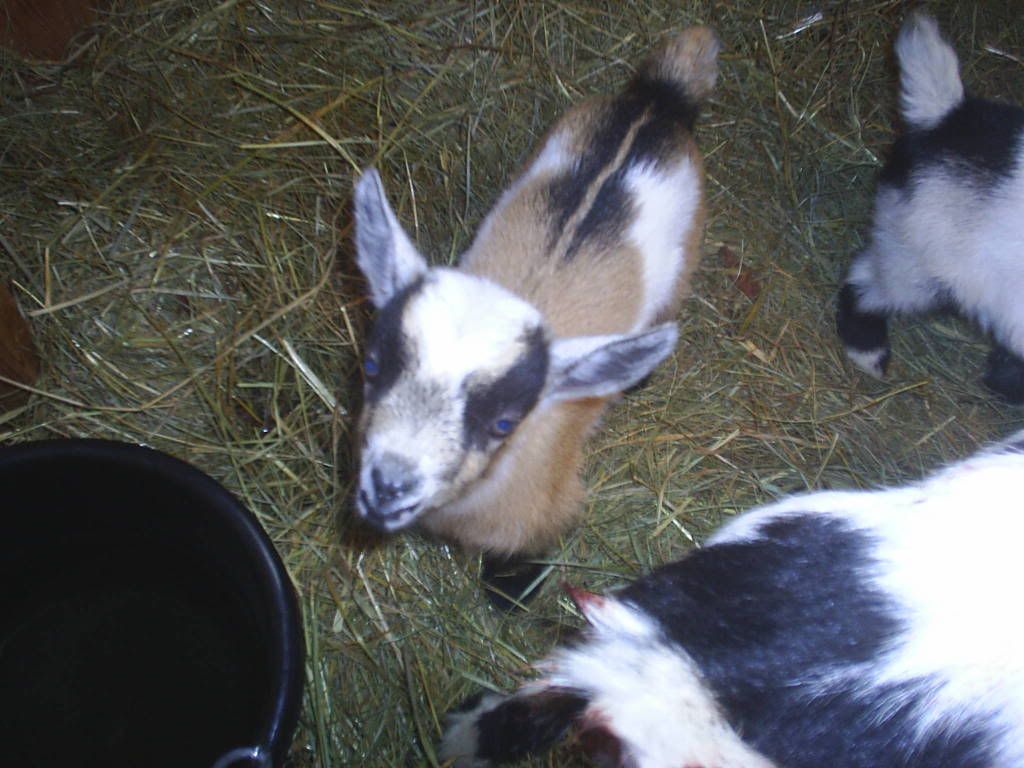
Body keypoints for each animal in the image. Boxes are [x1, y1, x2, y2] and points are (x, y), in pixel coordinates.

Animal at [353, 27, 719, 602]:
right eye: (370, 365)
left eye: (505, 421)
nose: (389, 486)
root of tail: (658, 101)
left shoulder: (548, 506)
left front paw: (508, 592)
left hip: (687, 252)